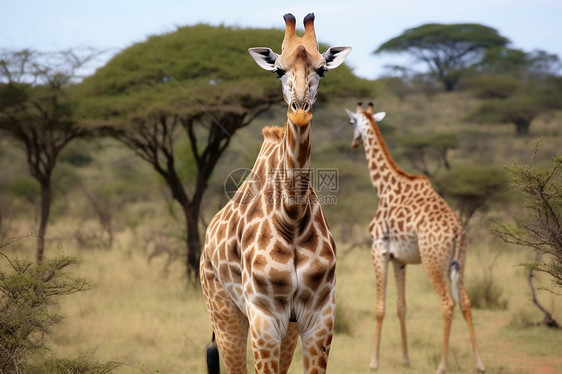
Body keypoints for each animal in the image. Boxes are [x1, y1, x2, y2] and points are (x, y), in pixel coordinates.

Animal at [199, 13, 350, 372]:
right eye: (278, 70)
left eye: (322, 69)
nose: (300, 110)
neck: (291, 218)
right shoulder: (264, 317)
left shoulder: (319, 317)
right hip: (224, 310)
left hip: (286, 328)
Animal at [344, 102, 484, 374]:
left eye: (351, 122)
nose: (353, 143)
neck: (384, 187)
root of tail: (457, 231)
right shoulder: (399, 258)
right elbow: (401, 306)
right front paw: (405, 359)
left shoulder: (378, 249)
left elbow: (380, 308)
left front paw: (374, 362)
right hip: (460, 263)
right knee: (466, 303)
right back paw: (479, 364)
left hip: (433, 263)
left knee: (447, 304)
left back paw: (442, 365)